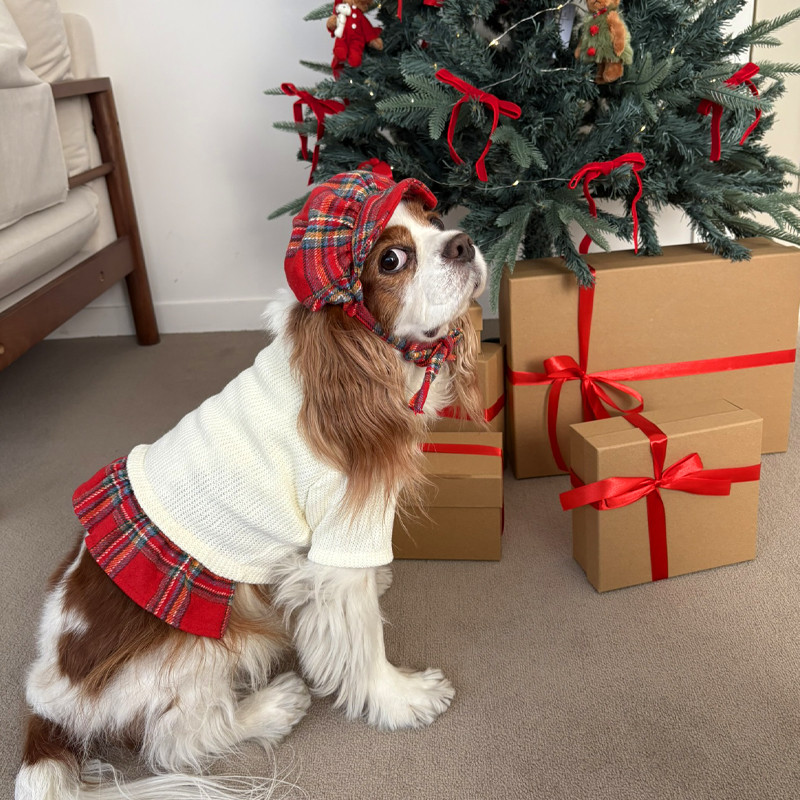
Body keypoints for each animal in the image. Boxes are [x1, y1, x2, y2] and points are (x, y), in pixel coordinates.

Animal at [16, 170, 487, 799]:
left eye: (434, 223)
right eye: (391, 259)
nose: (462, 242)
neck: (352, 365)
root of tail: (45, 701)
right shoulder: (338, 539)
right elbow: (362, 640)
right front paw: (401, 697)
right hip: (208, 646)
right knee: (179, 742)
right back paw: (273, 707)